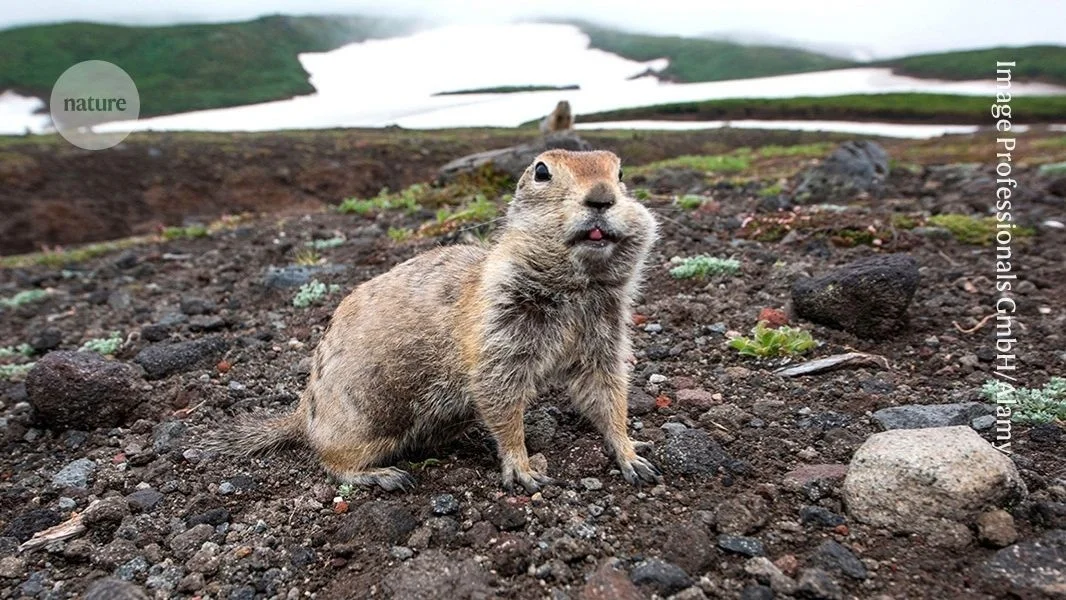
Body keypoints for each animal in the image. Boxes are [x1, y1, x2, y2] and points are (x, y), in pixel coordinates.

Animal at [224, 150, 661, 493]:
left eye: (621, 173)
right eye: (541, 171)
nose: (602, 197)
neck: (577, 287)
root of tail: (302, 414)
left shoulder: (604, 332)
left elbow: (605, 390)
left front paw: (633, 454)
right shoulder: (499, 330)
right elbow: (499, 394)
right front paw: (523, 468)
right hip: (366, 417)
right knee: (330, 460)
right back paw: (383, 474)